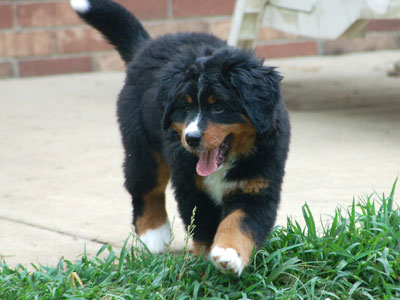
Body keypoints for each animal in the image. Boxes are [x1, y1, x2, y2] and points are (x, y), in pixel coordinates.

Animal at [72, 0, 290, 276]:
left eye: (218, 107)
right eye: (185, 107)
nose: (192, 138)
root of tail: (146, 47)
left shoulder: (257, 187)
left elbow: (239, 223)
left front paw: (229, 255)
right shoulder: (190, 186)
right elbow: (203, 228)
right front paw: (207, 262)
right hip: (141, 147)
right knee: (145, 188)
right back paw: (153, 236)